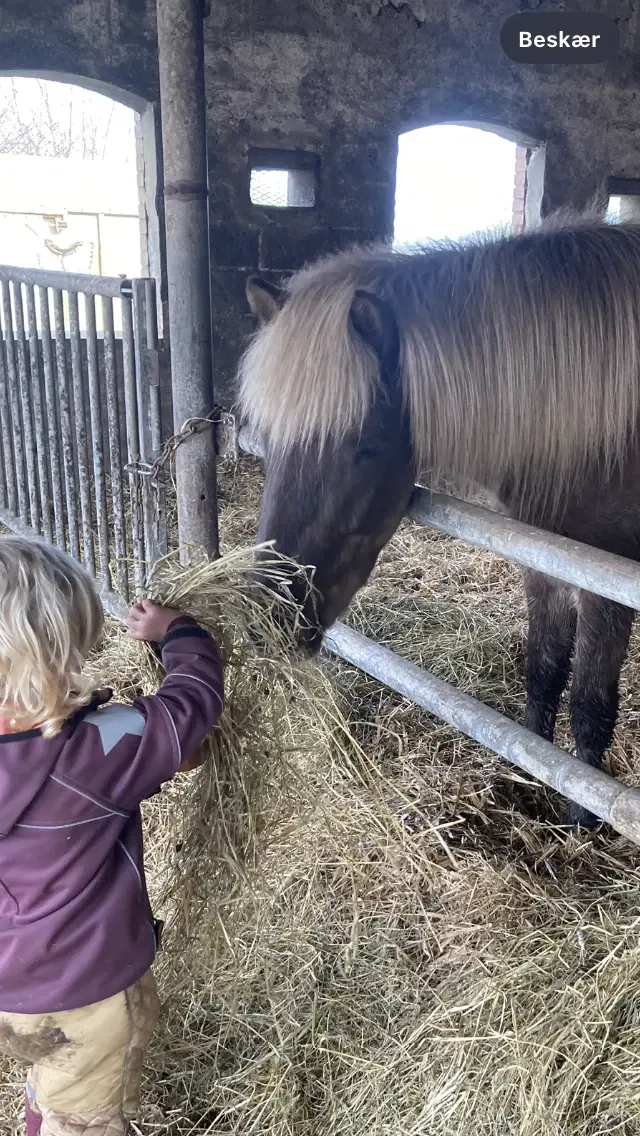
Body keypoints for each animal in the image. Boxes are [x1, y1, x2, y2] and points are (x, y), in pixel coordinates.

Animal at [236, 213, 640, 827]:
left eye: (366, 446)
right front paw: (531, 773)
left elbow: (590, 702)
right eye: (268, 437)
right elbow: (544, 670)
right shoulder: (546, 559)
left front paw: (582, 821)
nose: (269, 619)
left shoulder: (605, 583)